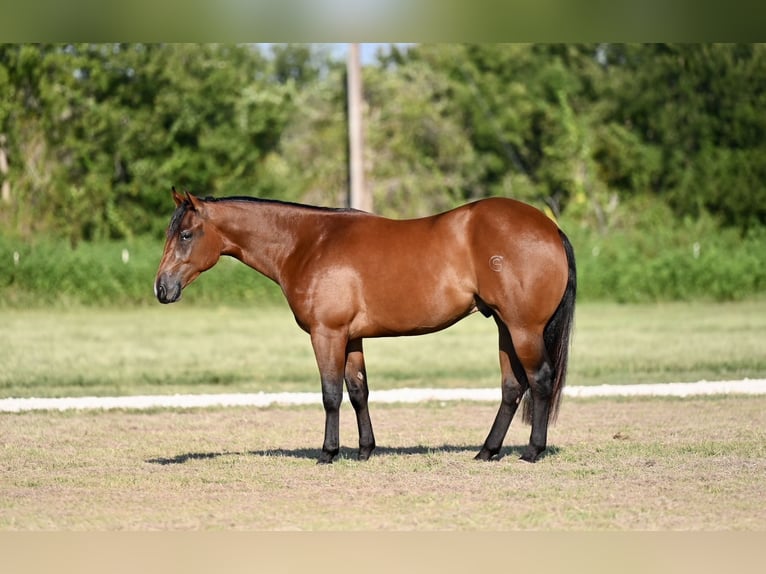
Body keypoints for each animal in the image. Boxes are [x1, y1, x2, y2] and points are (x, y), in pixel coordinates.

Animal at [155, 187, 576, 464]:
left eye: (186, 234)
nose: (162, 288)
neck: (308, 243)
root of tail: (549, 228)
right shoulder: (352, 337)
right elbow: (358, 391)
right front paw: (365, 450)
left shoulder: (327, 334)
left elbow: (330, 394)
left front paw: (328, 453)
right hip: (505, 328)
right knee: (512, 387)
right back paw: (487, 451)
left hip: (523, 328)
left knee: (539, 380)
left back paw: (532, 451)